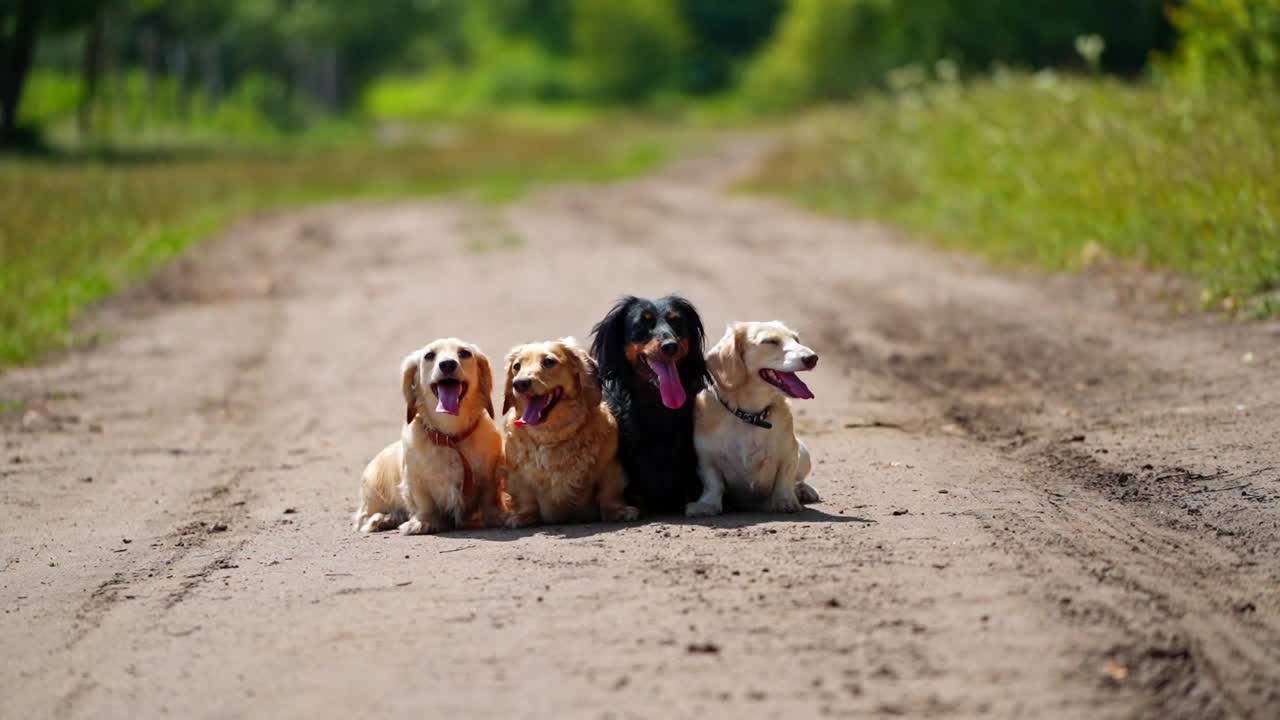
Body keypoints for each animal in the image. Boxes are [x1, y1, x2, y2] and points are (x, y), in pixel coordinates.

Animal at [355, 338, 509, 532]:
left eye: (464, 353)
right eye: (429, 355)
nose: (448, 364)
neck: (450, 437)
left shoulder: (489, 476)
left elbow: (489, 498)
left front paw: (497, 516)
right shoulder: (416, 481)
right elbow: (424, 504)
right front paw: (423, 522)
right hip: (373, 493)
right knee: (363, 517)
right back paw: (382, 519)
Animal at [499, 335, 640, 527]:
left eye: (549, 362)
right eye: (517, 366)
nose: (519, 384)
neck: (551, 435)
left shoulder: (610, 466)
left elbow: (609, 492)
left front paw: (617, 511)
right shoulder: (517, 475)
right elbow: (526, 498)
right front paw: (522, 516)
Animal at [691, 320, 819, 515]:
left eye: (796, 339)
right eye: (770, 341)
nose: (813, 358)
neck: (750, 416)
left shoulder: (790, 454)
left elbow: (785, 480)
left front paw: (784, 501)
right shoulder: (706, 459)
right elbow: (714, 485)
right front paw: (707, 505)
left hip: (803, 454)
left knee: (798, 479)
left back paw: (804, 490)